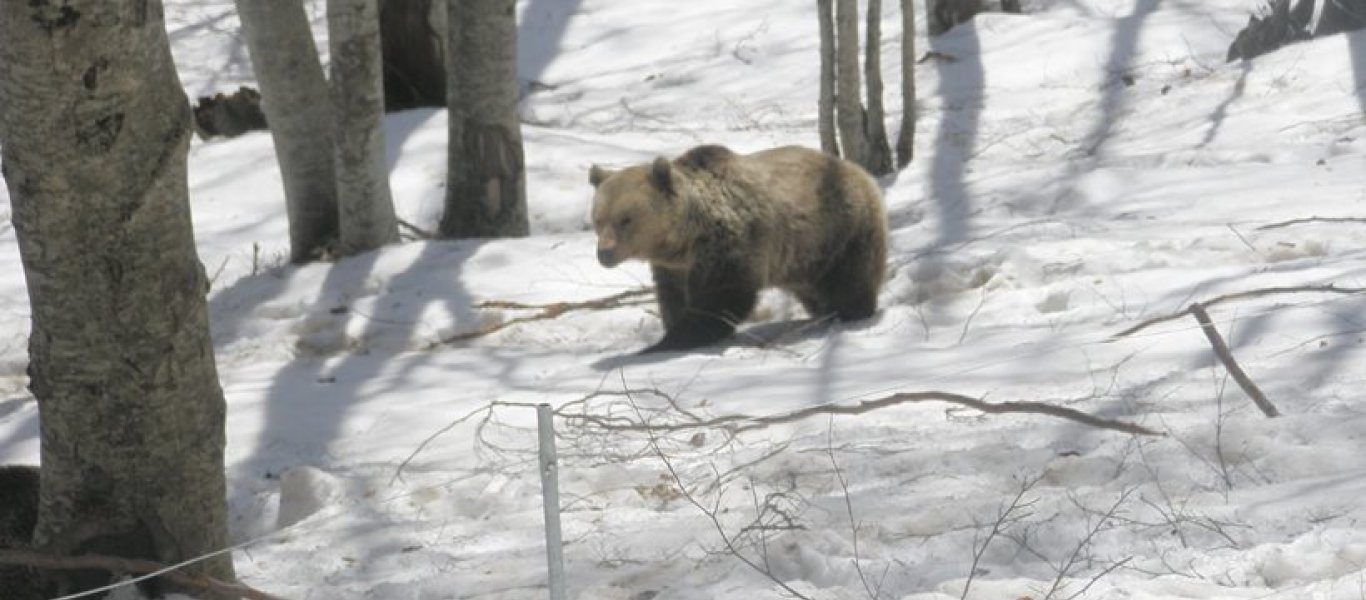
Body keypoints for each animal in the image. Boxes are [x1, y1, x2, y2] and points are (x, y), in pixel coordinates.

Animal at [587, 144, 885, 352]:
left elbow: (720, 298)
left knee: (849, 278)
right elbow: (673, 299)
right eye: (598, 219)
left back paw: (851, 311)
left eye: (626, 219)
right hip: (804, 258)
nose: (604, 253)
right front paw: (671, 329)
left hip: (839, 229)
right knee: (816, 290)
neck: (685, 239)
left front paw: (670, 341)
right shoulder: (673, 267)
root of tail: (858, 170)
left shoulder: (729, 247)